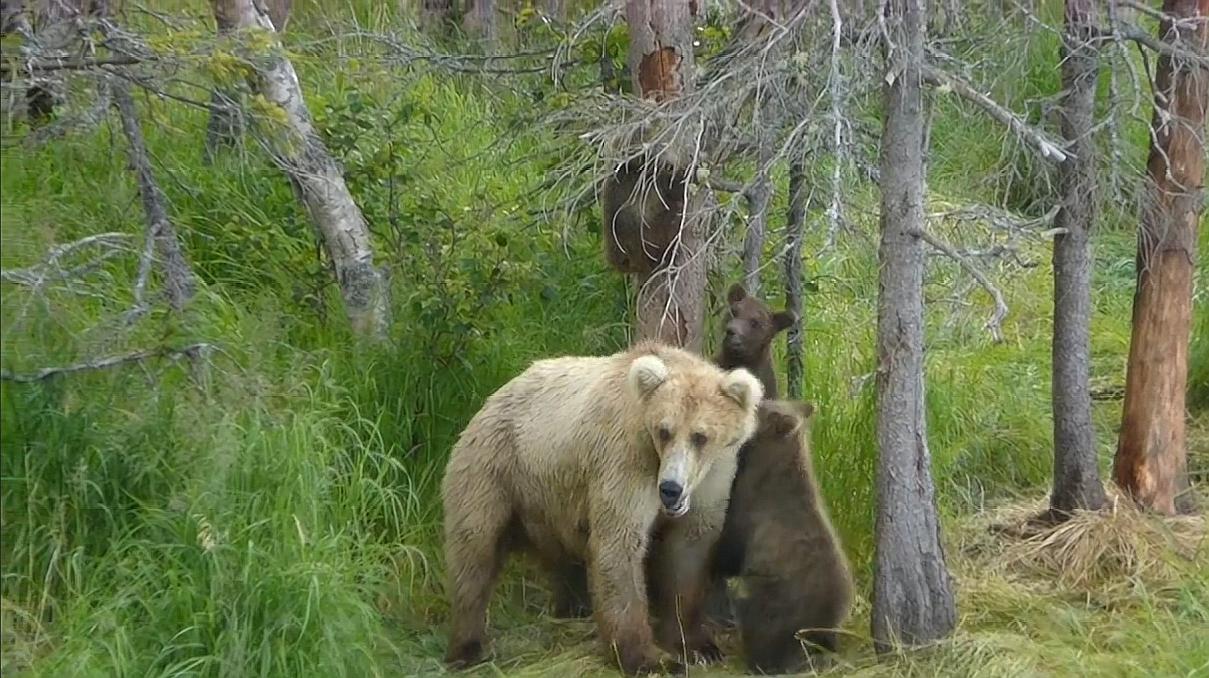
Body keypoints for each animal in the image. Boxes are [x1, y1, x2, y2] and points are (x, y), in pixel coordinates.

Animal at [442, 340, 764, 671]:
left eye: (700, 436)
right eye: (664, 431)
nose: (670, 490)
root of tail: (493, 396)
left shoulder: (714, 477)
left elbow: (688, 551)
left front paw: (698, 645)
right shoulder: (626, 459)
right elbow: (619, 544)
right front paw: (649, 658)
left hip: (553, 500)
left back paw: (571, 605)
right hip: (495, 468)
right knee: (475, 551)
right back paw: (468, 646)